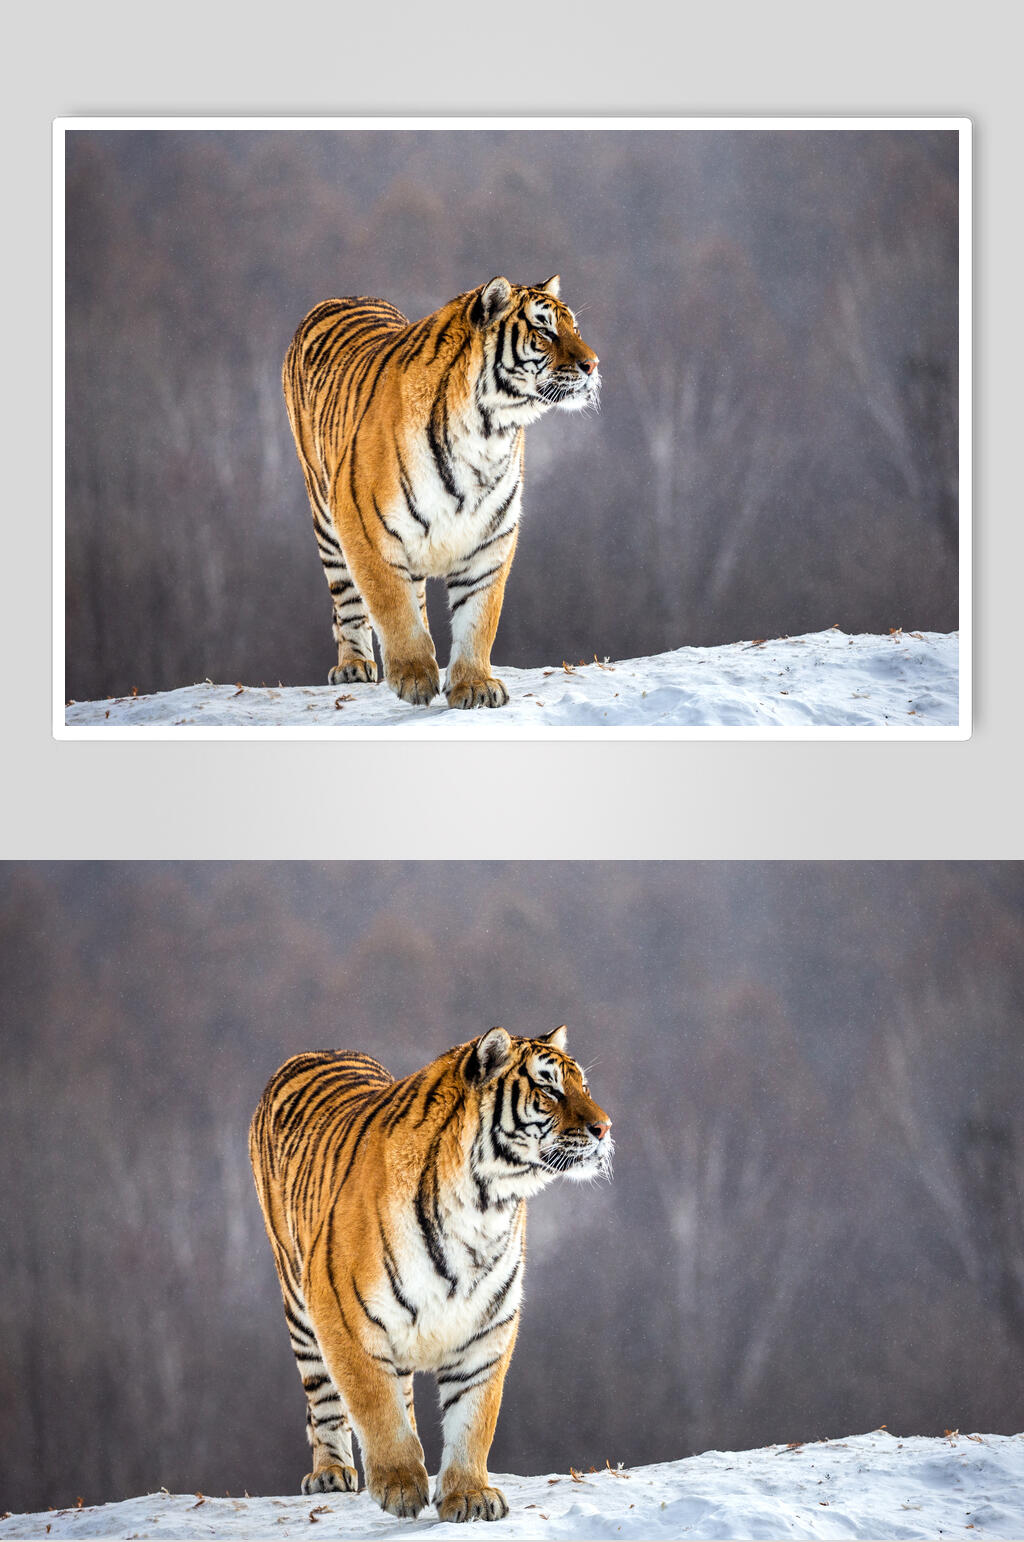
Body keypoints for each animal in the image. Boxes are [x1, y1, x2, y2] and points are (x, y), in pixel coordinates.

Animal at [248, 1024, 612, 1523]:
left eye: (584, 1088)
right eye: (549, 1088)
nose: (605, 1128)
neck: (484, 1203)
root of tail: (317, 1049)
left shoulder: (487, 1324)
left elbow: (474, 1417)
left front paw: (470, 1495)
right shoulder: (342, 1312)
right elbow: (374, 1404)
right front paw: (400, 1486)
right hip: (300, 1304)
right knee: (324, 1397)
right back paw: (331, 1473)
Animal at [282, 276, 600, 709]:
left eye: (574, 329)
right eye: (544, 330)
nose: (593, 365)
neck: (487, 431)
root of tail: (342, 296)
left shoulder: (490, 536)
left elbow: (478, 618)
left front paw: (475, 686)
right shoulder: (364, 526)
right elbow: (392, 606)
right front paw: (414, 677)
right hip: (326, 517)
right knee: (348, 599)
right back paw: (353, 666)